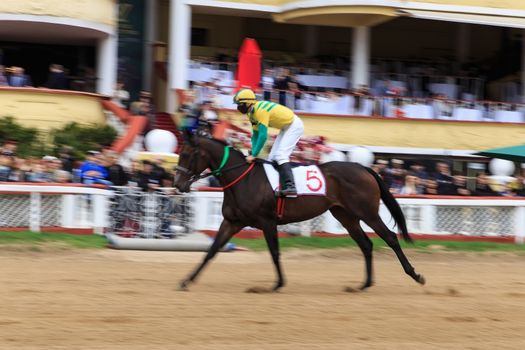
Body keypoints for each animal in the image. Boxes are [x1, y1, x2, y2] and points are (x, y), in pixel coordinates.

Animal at [174, 135, 424, 292]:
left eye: (186, 154)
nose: (178, 183)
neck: (243, 179)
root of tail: (364, 168)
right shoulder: (231, 221)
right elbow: (211, 251)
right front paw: (186, 280)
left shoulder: (267, 221)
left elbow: (275, 252)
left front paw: (278, 284)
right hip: (345, 215)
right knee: (366, 245)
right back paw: (364, 284)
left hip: (367, 212)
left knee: (390, 238)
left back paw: (415, 274)